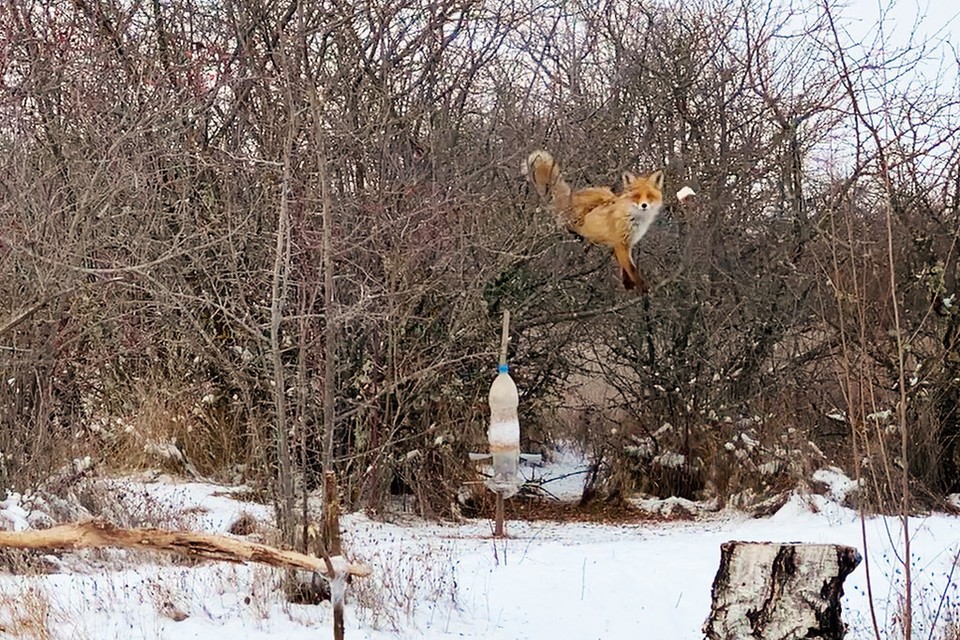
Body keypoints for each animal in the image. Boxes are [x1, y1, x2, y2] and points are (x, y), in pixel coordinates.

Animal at [520, 150, 664, 292]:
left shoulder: (626, 244)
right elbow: (630, 268)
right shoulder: (620, 242)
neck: (634, 218)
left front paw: (628, 284)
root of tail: (572, 196)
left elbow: (625, 266)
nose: (644, 205)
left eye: (649, 196)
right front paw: (640, 285)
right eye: (636, 196)